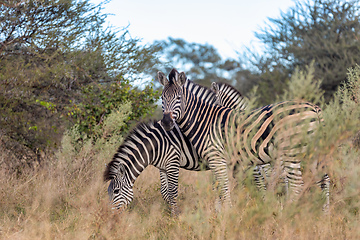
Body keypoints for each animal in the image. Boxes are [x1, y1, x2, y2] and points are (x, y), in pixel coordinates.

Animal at [103, 79, 250, 215]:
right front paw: (170, 215)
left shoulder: (173, 161)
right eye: (108, 192)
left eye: (116, 191)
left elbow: (172, 191)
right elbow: (165, 192)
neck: (156, 144)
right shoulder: (162, 167)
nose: (110, 216)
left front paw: (175, 217)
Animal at [159, 68, 330, 209]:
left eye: (179, 98)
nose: (166, 122)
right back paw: (324, 215)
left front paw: (228, 218)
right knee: (323, 180)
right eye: (162, 99)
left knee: (297, 185)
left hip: (291, 153)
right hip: (314, 152)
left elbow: (226, 189)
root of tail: (314, 108)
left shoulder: (219, 159)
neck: (205, 120)